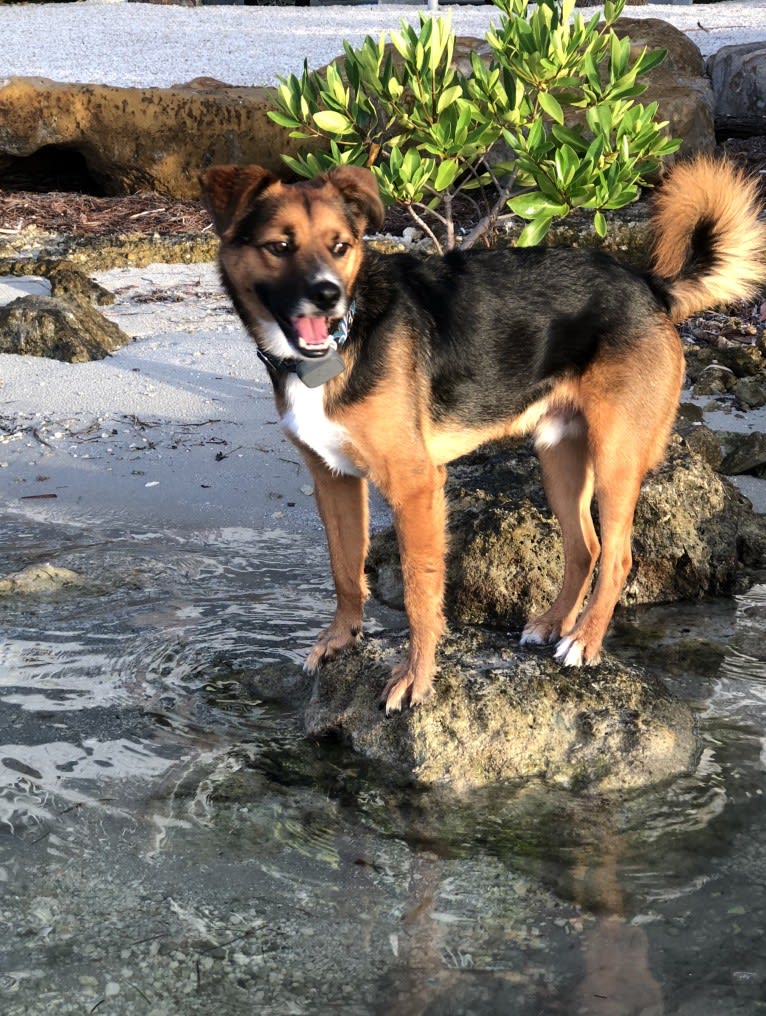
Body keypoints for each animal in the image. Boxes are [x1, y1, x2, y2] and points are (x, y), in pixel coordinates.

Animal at [198, 160, 763, 715]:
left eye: (340, 246)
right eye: (280, 246)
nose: (328, 296)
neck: (347, 336)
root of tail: (650, 286)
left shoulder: (415, 486)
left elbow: (419, 589)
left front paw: (416, 677)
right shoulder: (333, 480)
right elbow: (344, 569)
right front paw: (341, 640)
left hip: (616, 457)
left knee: (619, 556)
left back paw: (585, 642)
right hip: (559, 455)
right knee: (585, 547)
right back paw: (554, 623)